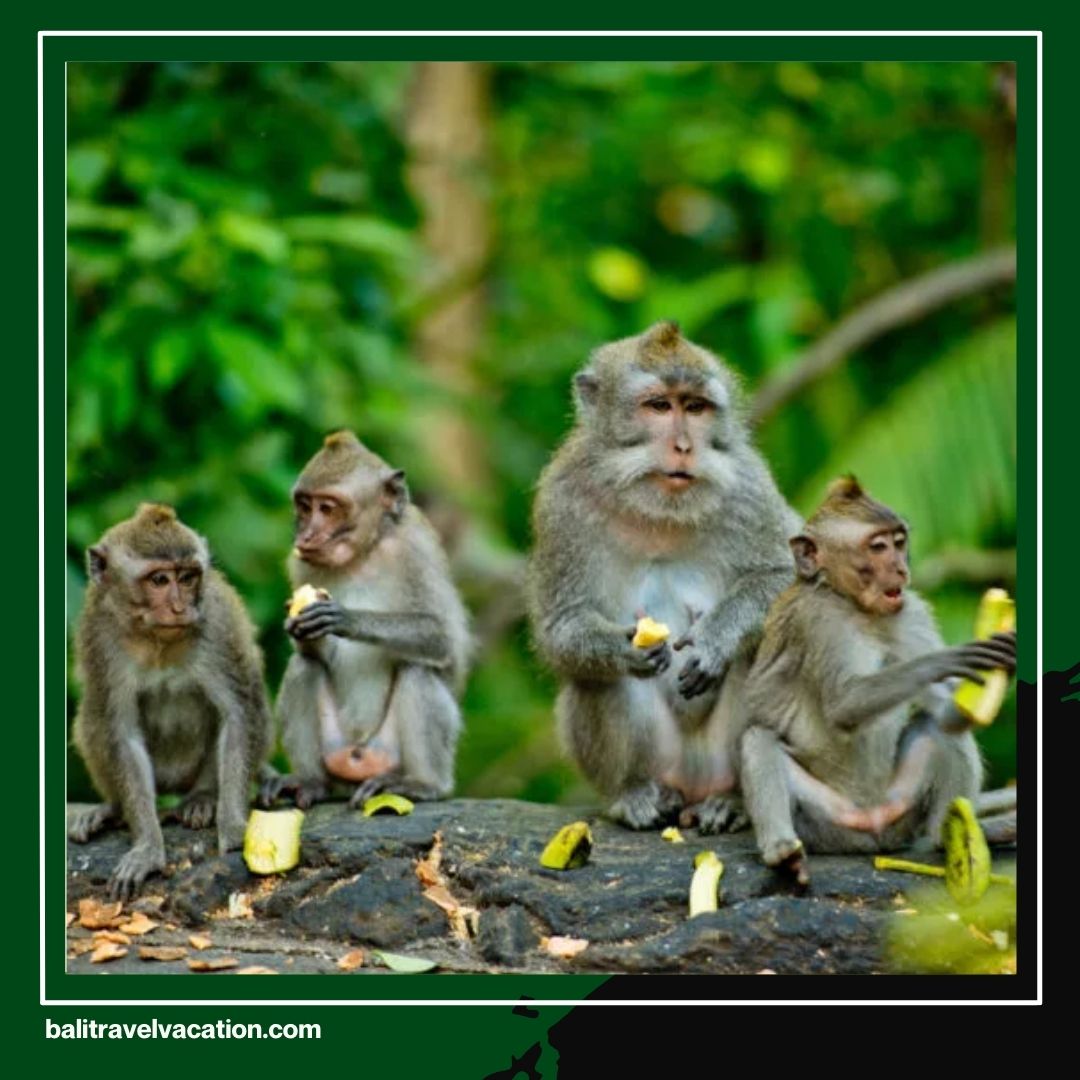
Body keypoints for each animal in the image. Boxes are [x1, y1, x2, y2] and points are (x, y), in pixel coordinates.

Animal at [68, 504, 271, 900]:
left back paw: (203, 798)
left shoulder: (217, 623)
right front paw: (147, 847)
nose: (180, 608)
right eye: (159, 580)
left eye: (188, 577)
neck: (155, 639)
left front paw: (234, 827)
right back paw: (110, 808)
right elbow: (121, 733)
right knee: (92, 719)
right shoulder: (100, 635)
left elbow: (238, 713)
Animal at [258, 431, 469, 810]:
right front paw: (300, 629)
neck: (362, 555)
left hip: (388, 752)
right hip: (336, 749)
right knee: (303, 667)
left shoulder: (415, 548)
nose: (305, 536)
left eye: (328, 508)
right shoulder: (300, 564)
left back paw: (423, 784)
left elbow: (441, 638)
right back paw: (310, 781)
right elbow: (309, 654)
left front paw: (345, 618)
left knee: (418, 669)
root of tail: (358, 757)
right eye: (305, 506)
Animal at [527, 321, 801, 831]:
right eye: (658, 406)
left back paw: (734, 800)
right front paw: (620, 648)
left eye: (695, 407)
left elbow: (786, 578)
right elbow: (562, 626)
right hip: (662, 760)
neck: (659, 511)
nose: (684, 447)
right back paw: (634, 794)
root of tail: (693, 783)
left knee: (763, 649)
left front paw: (715, 639)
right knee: (594, 679)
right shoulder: (561, 500)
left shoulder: (750, 487)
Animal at [737, 477, 1016, 884]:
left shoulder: (910, 611)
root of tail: (872, 827)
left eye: (899, 542)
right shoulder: (817, 620)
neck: (854, 605)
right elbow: (844, 704)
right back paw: (783, 853)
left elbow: (948, 717)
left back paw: (945, 837)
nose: (900, 570)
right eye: (878, 547)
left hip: (901, 806)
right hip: (828, 821)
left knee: (938, 730)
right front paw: (945, 661)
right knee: (758, 739)